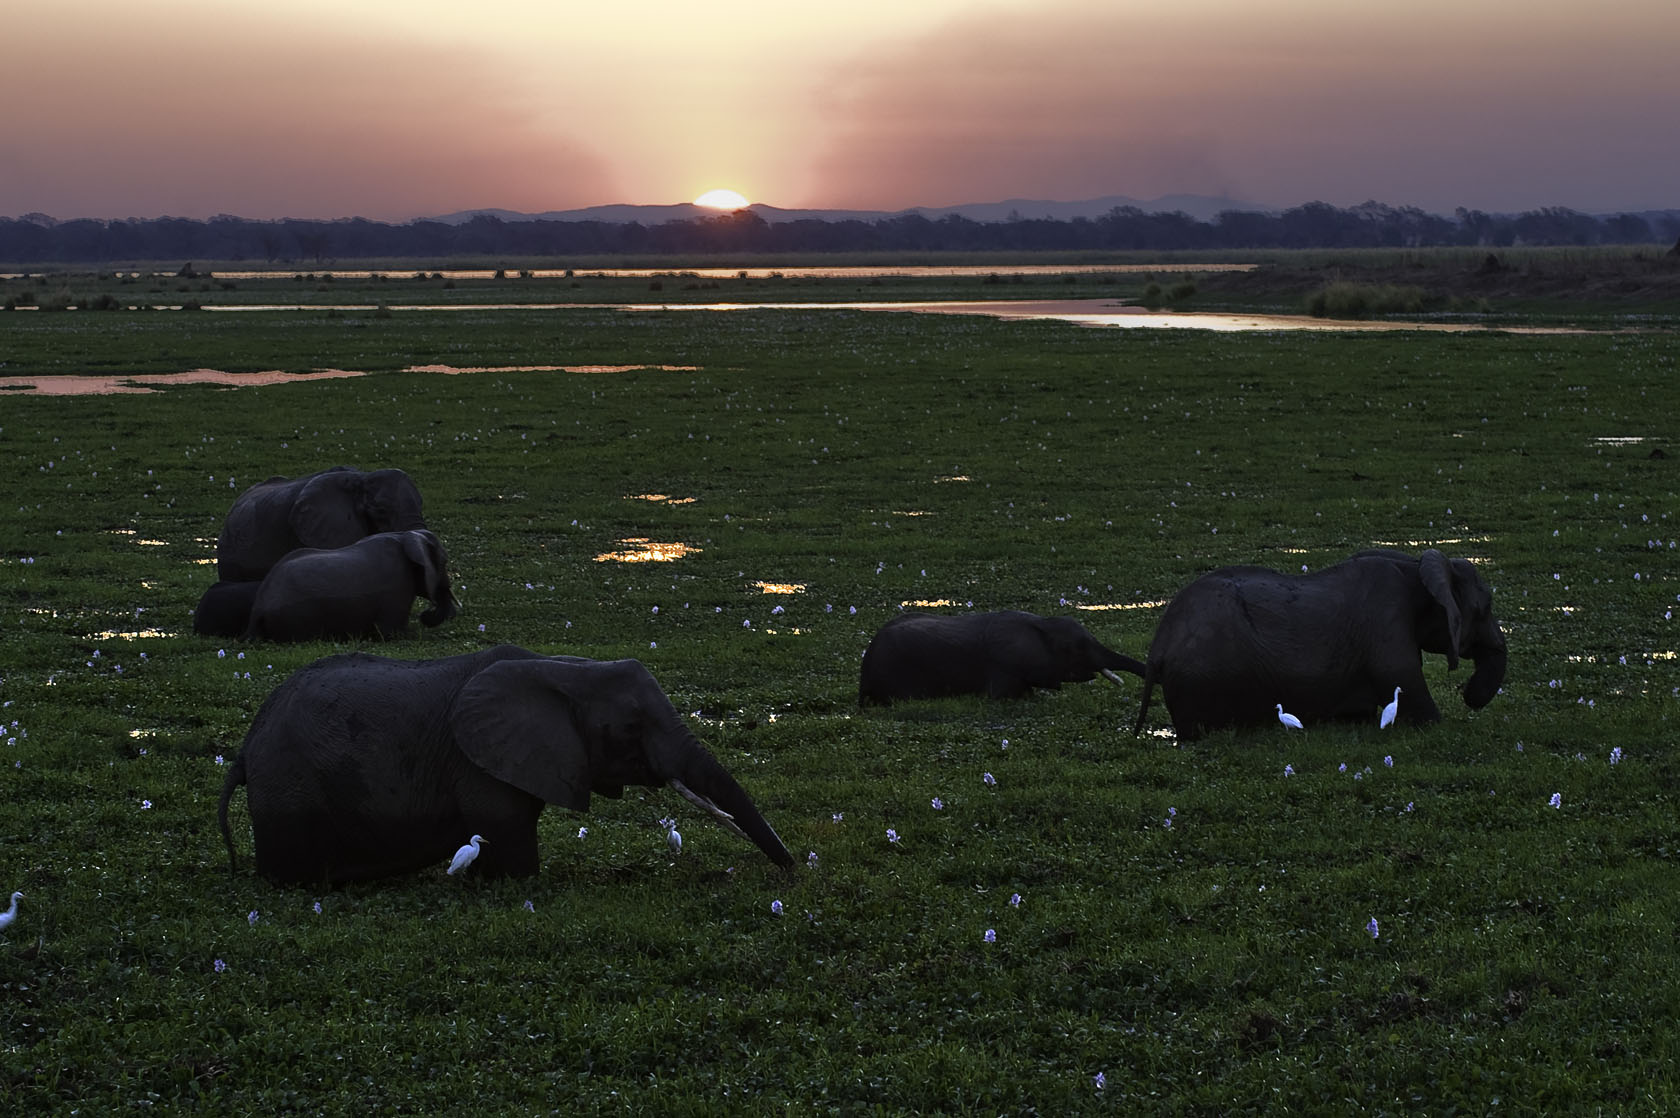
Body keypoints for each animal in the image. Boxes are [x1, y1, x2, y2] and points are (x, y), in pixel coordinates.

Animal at [217, 645, 795, 884]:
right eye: (631, 728)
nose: (795, 872)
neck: (558, 667)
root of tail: (244, 749)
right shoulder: (475, 761)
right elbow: (508, 831)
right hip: (288, 791)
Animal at [245, 529, 458, 642]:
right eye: (444, 562)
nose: (425, 615)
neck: (404, 536)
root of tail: (257, 612)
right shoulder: (398, 587)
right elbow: (390, 633)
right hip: (297, 617)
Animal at [1133, 548, 1507, 741]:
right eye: (1485, 608)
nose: (1466, 691)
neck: (1413, 565)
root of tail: (1158, 647)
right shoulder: (1386, 625)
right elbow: (1408, 687)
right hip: (1199, 678)